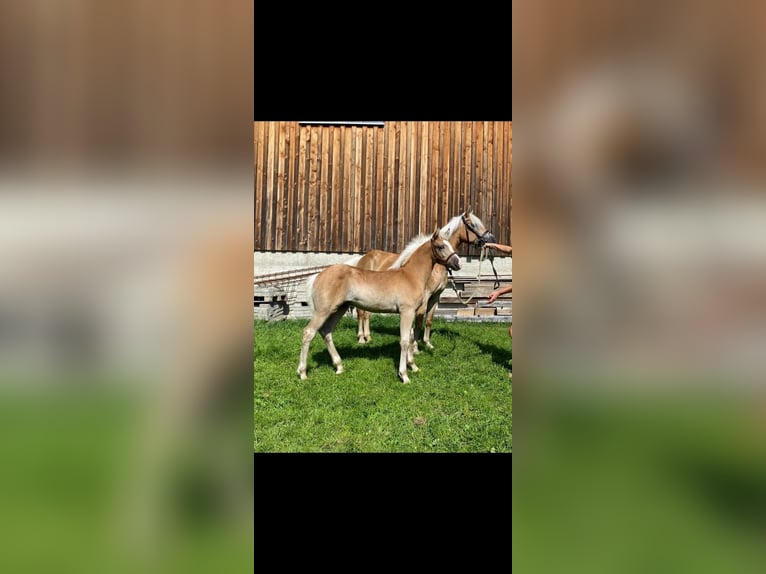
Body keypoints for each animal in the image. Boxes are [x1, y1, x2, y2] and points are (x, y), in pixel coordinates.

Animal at [297, 228, 462, 383]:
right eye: (441, 246)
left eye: (450, 245)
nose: (458, 263)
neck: (410, 276)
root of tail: (317, 276)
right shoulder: (406, 312)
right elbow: (404, 341)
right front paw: (404, 375)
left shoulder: (412, 312)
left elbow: (409, 338)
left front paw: (413, 366)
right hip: (323, 311)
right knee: (309, 332)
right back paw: (303, 372)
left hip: (339, 309)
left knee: (326, 331)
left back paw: (339, 366)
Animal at [351, 207, 495, 352]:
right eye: (473, 225)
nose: (491, 239)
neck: (434, 266)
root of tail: (364, 257)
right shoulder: (425, 296)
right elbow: (419, 321)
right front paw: (414, 347)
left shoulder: (435, 296)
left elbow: (429, 320)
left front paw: (427, 343)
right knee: (360, 313)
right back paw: (361, 338)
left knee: (367, 314)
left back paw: (368, 337)